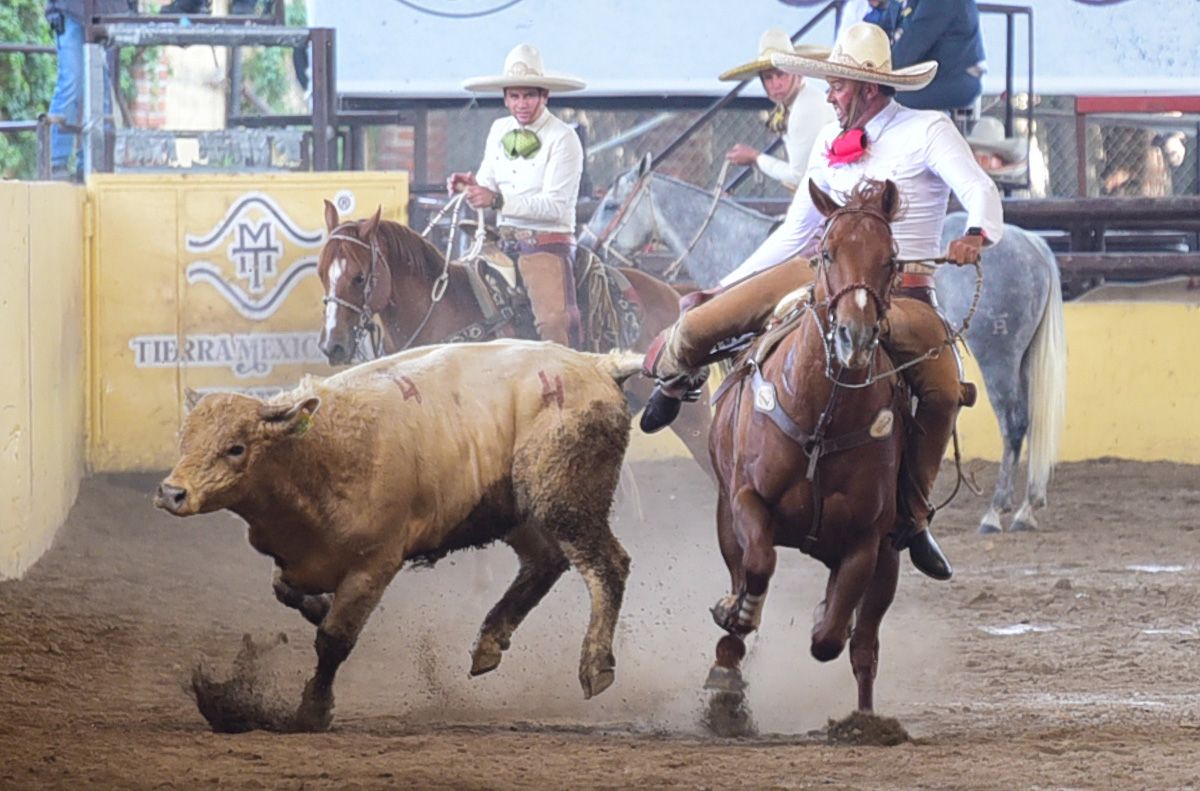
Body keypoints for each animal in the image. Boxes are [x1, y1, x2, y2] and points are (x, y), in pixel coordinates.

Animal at [316, 201, 710, 480]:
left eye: (359, 276)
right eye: (321, 273)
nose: (332, 346)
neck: (442, 310)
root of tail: (673, 293)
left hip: (692, 416)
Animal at [700, 180, 907, 710]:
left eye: (891, 259)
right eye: (826, 252)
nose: (854, 337)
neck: (824, 420)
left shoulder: (868, 539)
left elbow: (830, 637)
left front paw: (823, 617)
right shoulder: (745, 499)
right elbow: (757, 564)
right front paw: (736, 615)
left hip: (890, 557)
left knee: (865, 643)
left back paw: (866, 717)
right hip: (724, 513)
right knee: (743, 569)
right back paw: (727, 664)